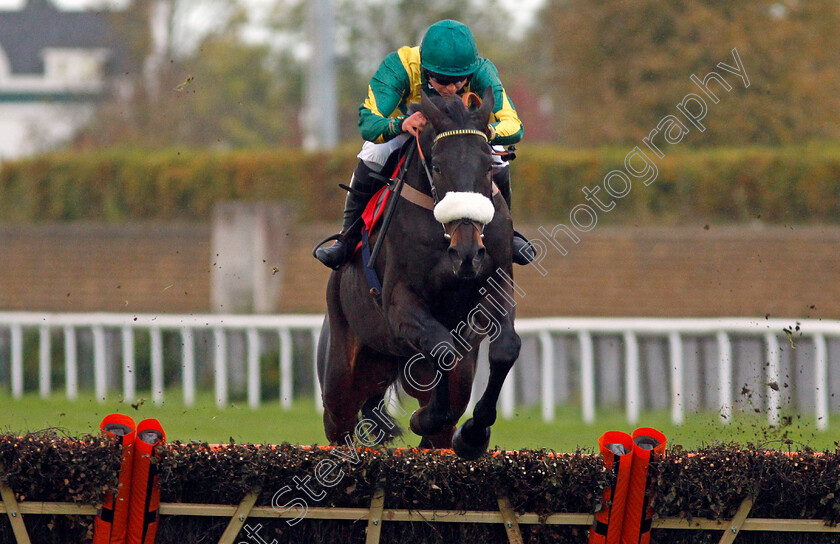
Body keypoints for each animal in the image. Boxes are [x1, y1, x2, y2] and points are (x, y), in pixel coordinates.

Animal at [318, 86, 520, 460]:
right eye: (437, 167)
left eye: (488, 167)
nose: (467, 253)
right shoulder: (400, 303)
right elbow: (441, 346)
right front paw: (424, 418)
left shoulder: (497, 285)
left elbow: (505, 348)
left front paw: (474, 432)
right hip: (341, 379)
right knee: (339, 426)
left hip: (443, 378)